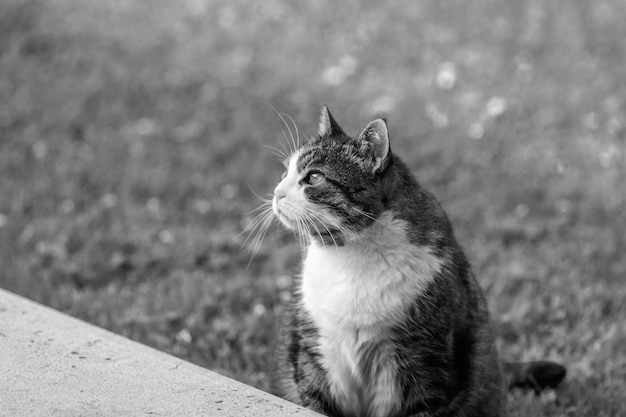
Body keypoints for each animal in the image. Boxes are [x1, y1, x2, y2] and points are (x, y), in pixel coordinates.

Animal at [266, 107, 564, 416]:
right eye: (285, 172)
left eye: (313, 178)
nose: (276, 192)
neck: (351, 257)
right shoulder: (316, 350)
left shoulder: (424, 361)